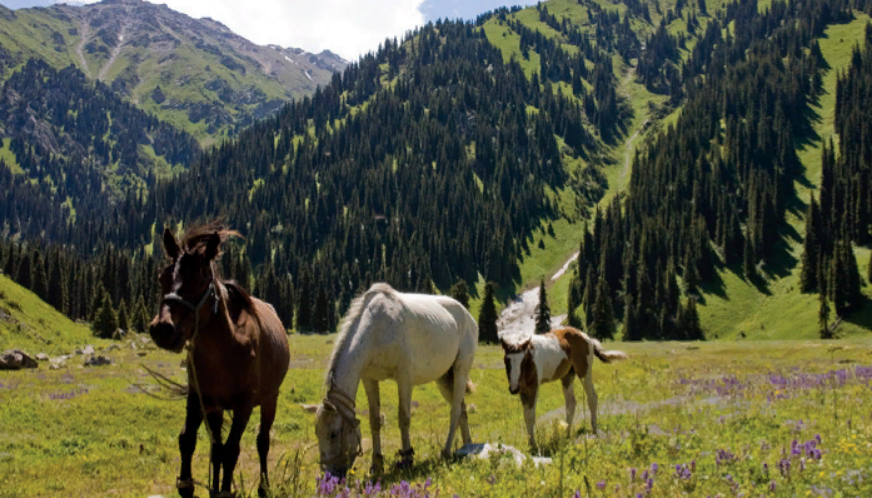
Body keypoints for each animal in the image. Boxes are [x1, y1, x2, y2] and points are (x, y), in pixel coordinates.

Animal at [148, 225, 288, 498]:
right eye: (162, 278)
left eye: (201, 280)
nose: (163, 329)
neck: (226, 349)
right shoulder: (198, 399)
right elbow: (189, 440)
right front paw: (188, 484)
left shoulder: (245, 405)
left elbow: (232, 450)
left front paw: (225, 490)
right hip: (217, 408)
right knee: (217, 447)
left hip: (270, 399)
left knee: (261, 441)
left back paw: (263, 487)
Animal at [312, 284, 476, 474]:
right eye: (317, 433)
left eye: (333, 434)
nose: (329, 475)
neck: (376, 329)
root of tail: (468, 316)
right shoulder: (369, 378)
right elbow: (374, 420)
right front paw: (377, 464)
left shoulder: (404, 377)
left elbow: (404, 418)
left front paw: (407, 459)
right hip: (444, 378)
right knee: (462, 409)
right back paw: (467, 447)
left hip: (460, 371)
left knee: (455, 410)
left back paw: (447, 451)